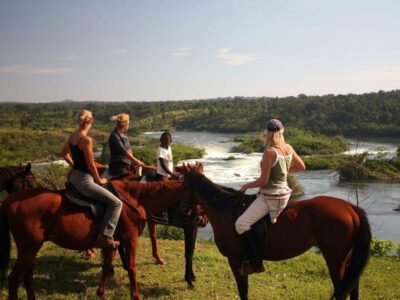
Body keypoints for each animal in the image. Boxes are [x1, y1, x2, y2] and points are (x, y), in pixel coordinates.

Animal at [0, 176, 189, 300]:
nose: (195, 218)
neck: (135, 200)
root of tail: (11, 200)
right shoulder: (130, 240)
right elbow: (132, 268)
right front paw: (136, 296)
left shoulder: (111, 243)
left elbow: (106, 267)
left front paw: (101, 294)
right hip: (27, 249)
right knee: (14, 279)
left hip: (31, 249)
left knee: (27, 278)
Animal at [181, 168, 372, 300]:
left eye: (182, 184)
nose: (185, 210)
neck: (227, 210)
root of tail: (351, 208)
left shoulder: (235, 260)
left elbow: (243, 291)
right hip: (347, 259)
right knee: (353, 287)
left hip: (335, 261)